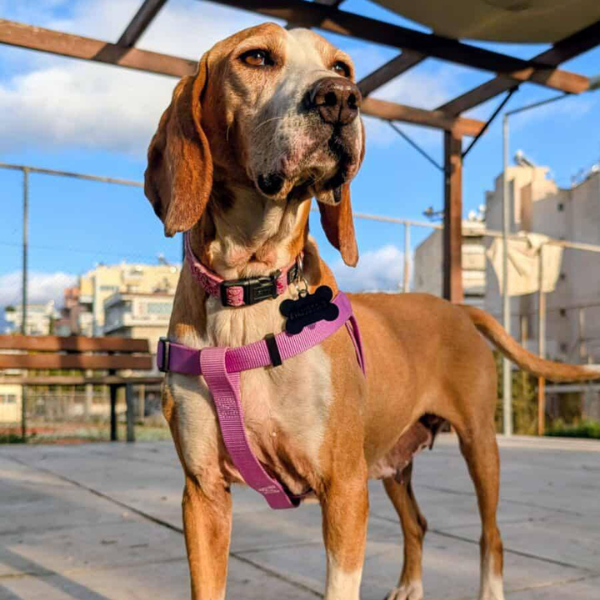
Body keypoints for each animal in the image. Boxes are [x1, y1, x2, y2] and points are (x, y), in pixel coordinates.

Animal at [144, 23, 600, 600]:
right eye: (256, 58)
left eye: (341, 67)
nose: (340, 99)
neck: (249, 289)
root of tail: (457, 308)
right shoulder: (203, 494)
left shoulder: (343, 489)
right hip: (390, 462)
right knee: (418, 523)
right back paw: (409, 587)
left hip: (479, 446)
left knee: (491, 536)